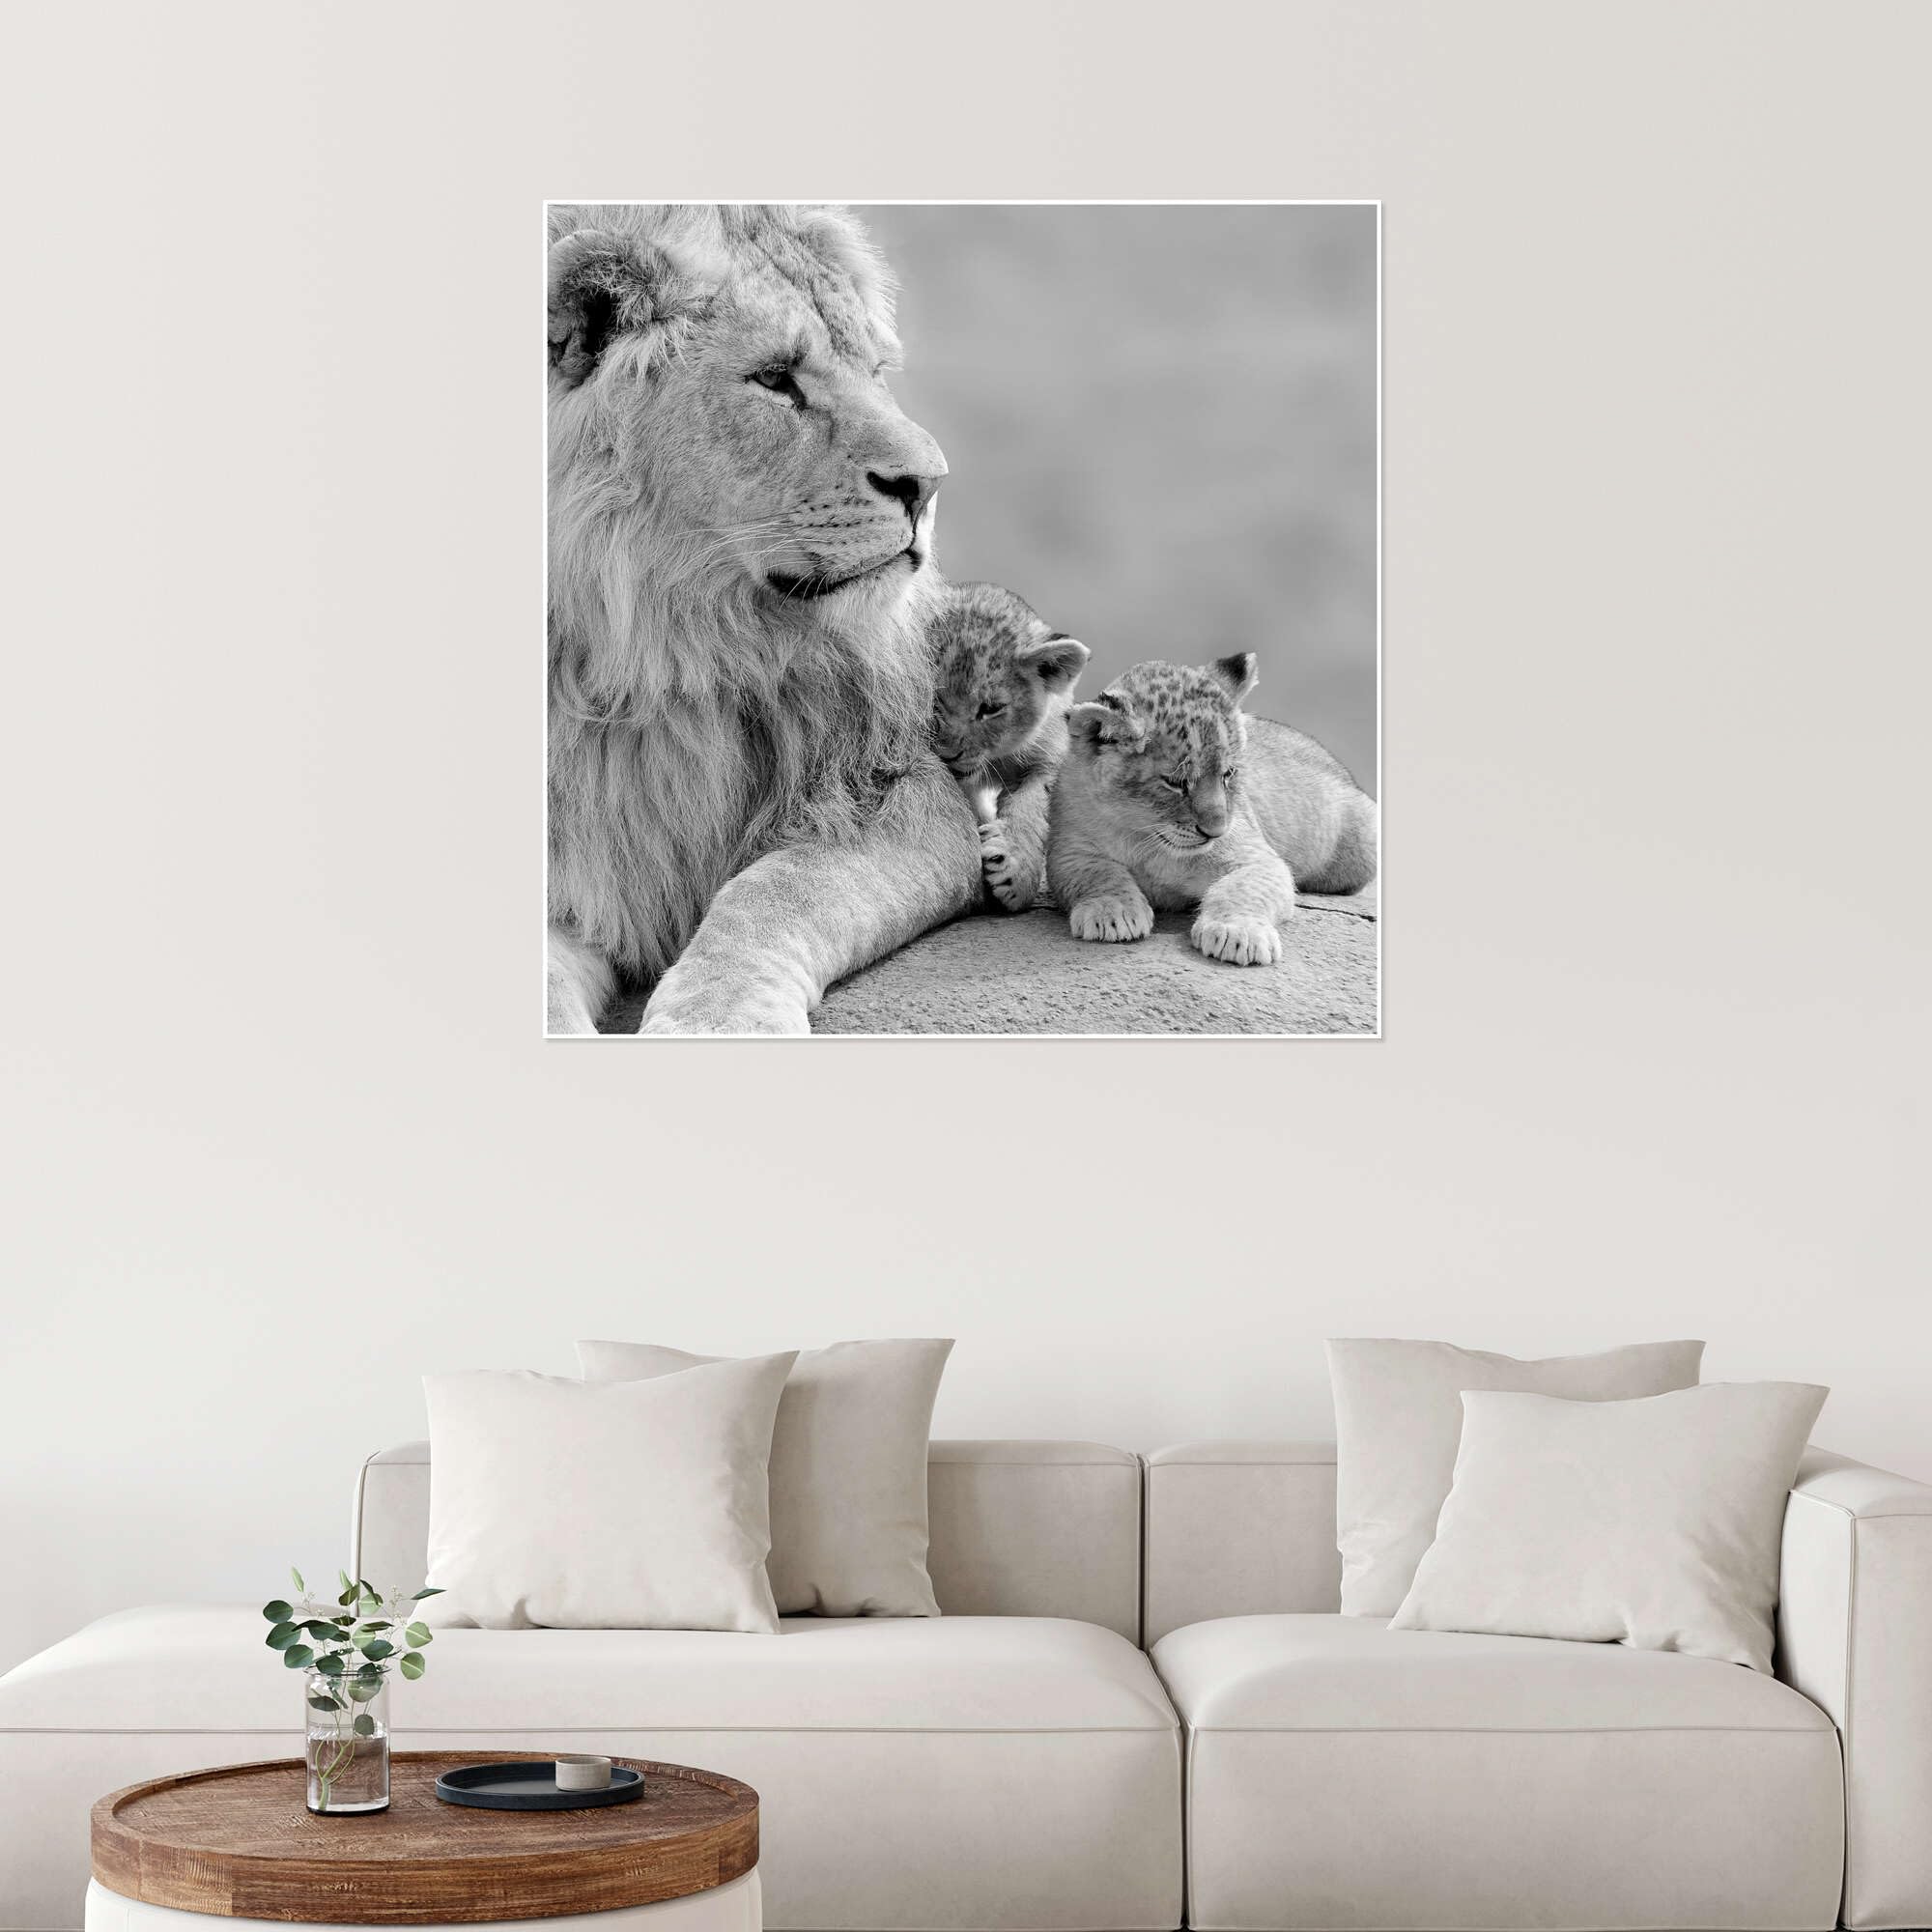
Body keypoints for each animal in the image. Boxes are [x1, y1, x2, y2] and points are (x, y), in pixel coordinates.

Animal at [546, 203, 981, 1034]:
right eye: (775, 379)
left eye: (877, 372)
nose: (930, 484)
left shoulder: (901, 789)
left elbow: (778, 890)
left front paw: (718, 1020)